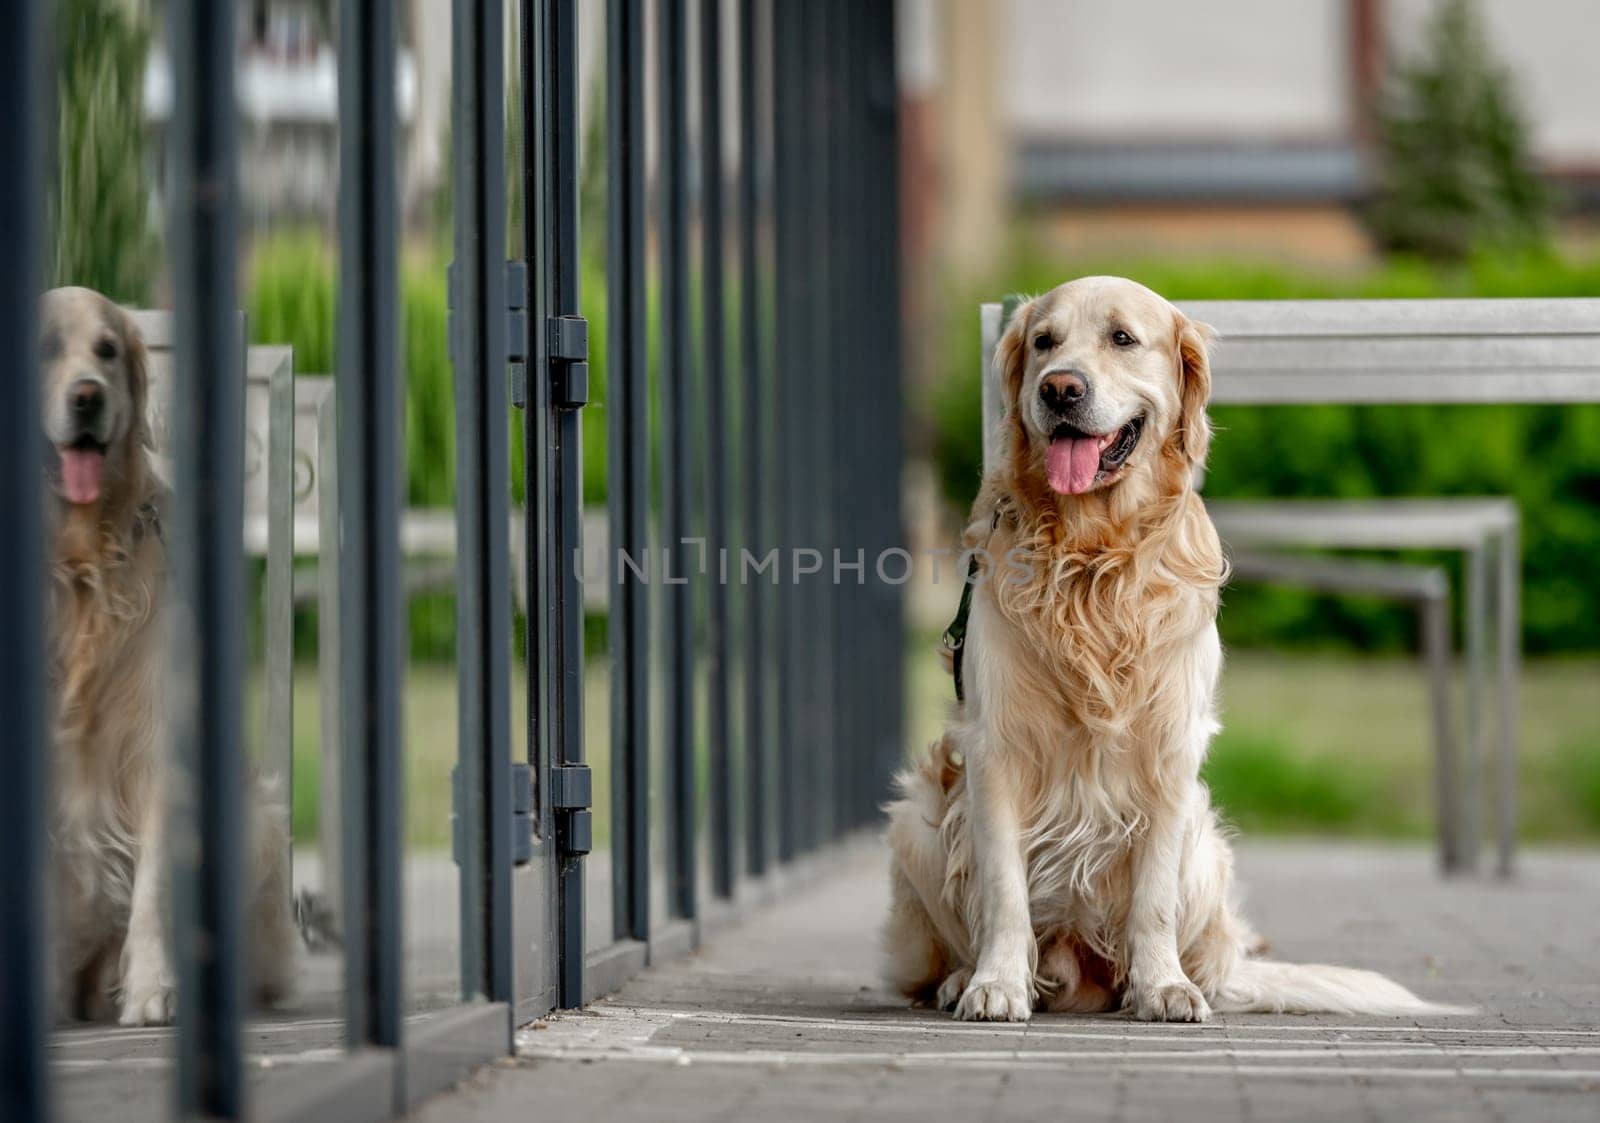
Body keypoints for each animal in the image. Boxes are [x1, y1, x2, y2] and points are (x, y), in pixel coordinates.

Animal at [43, 286, 299, 1023]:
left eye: (106, 349)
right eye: (46, 347)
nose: (88, 397)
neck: (81, 566)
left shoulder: (160, 749)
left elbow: (154, 890)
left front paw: (155, 990)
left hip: (258, 817)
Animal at [883, 276, 1465, 1023]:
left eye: (1122, 338)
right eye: (1043, 342)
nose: (1059, 388)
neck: (1093, 556)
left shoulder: (1169, 749)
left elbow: (1152, 897)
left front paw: (1162, 985)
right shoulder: (995, 748)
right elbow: (1004, 890)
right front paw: (996, 984)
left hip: (1205, 838)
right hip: (917, 817)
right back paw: (962, 977)